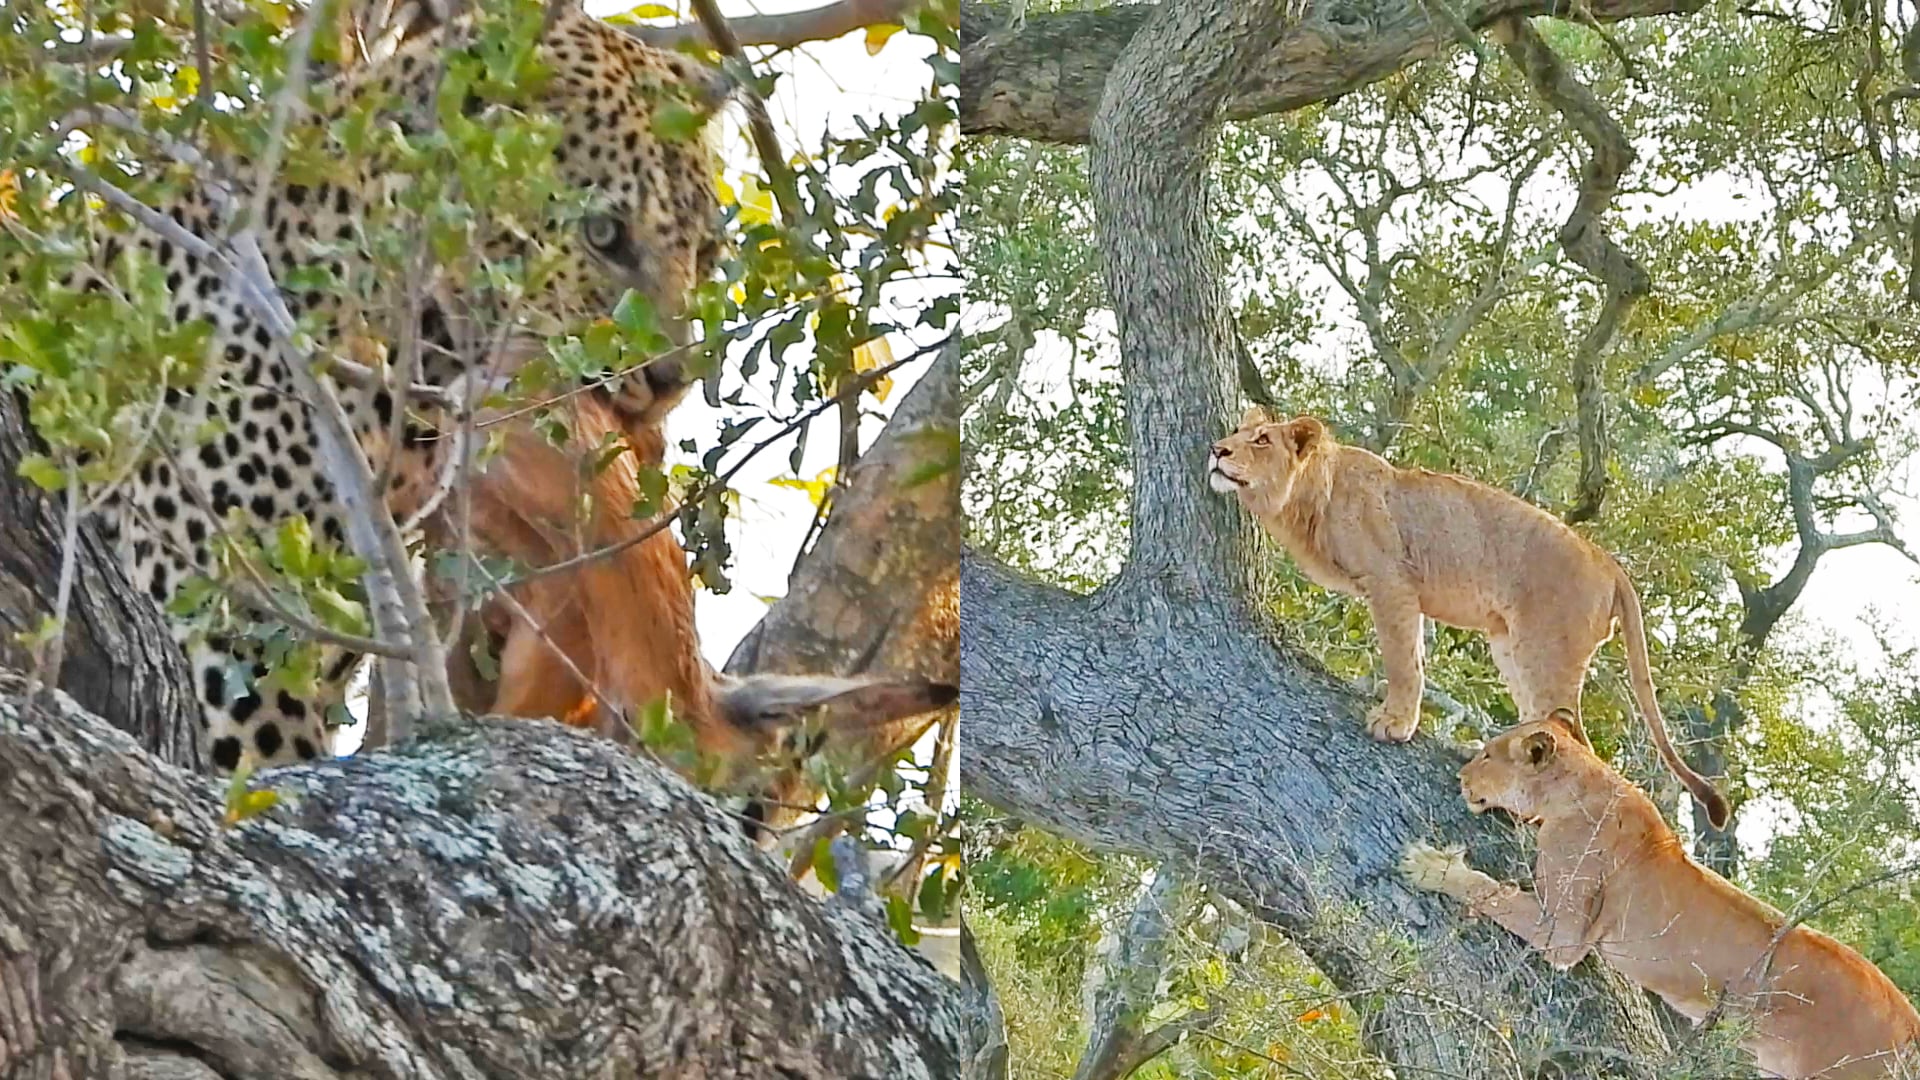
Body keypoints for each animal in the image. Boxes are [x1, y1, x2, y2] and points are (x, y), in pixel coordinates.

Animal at [1208, 407, 1727, 827]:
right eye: (1237, 431)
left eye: (1262, 440)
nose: (1216, 449)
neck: (1312, 496)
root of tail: (1611, 564)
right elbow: (1413, 656)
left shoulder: (1392, 582)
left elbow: (1403, 659)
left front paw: (1394, 723)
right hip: (1510, 646)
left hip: (1546, 650)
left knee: (1573, 738)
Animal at [1401, 714, 1920, 1079]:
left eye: (1488, 755)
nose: (1462, 775)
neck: (1583, 784)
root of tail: (1910, 1024)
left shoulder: (1564, 935)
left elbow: (1494, 892)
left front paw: (1431, 866)